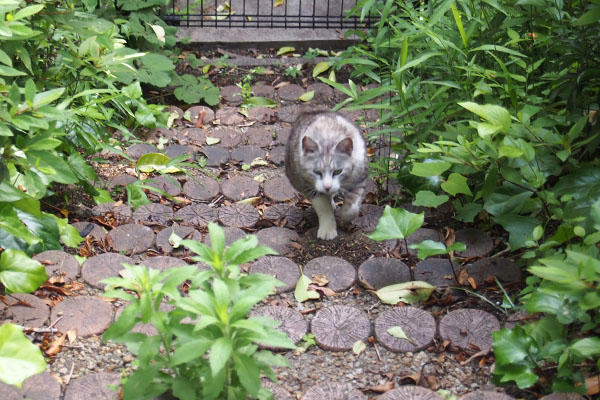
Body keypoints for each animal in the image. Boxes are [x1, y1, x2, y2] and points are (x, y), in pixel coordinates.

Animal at [284, 109, 368, 239]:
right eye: (317, 172)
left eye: (338, 171)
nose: (327, 186)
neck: (328, 136)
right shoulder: (309, 187)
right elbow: (324, 209)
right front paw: (328, 230)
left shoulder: (359, 178)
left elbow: (353, 205)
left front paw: (346, 216)